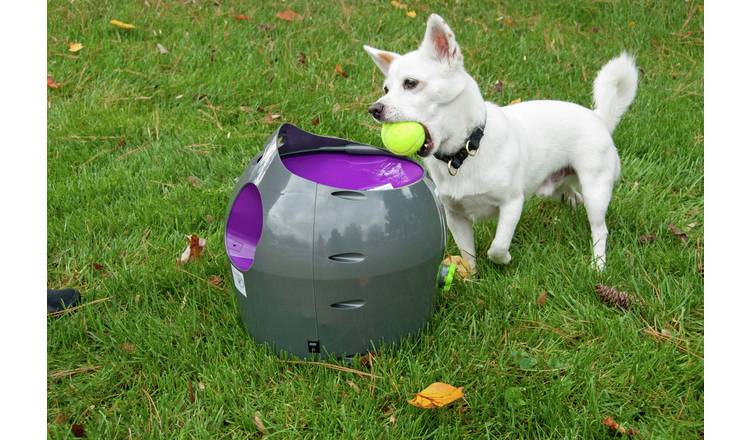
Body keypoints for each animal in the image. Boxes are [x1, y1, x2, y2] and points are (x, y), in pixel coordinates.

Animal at [364, 12, 640, 272]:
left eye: (411, 83)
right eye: (386, 89)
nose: (374, 109)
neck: (464, 151)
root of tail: (599, 118)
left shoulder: (512, 204)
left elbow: (497, 246)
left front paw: (504, 259)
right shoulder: (456, 216)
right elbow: (468, 253)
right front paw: (471, 277)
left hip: (596, 189)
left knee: (599, 229)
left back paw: (598, 264)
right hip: (554, 185)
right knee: (566, 191)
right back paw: (572, 199)